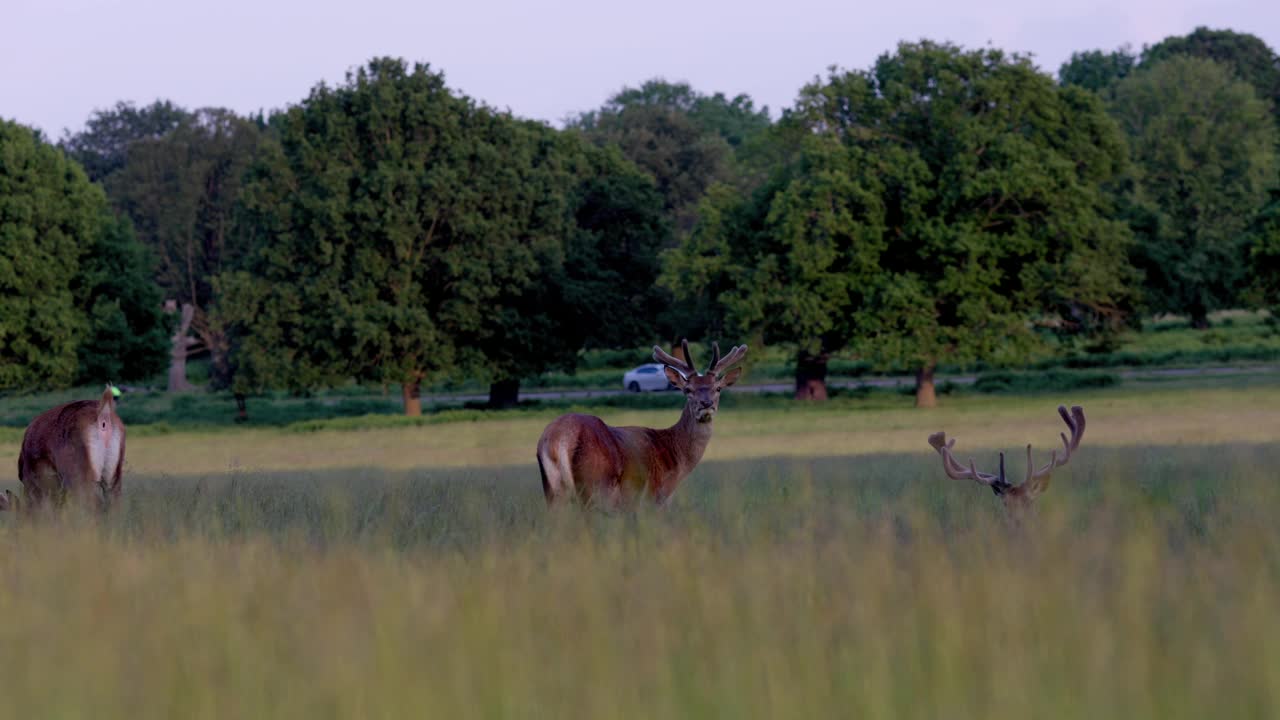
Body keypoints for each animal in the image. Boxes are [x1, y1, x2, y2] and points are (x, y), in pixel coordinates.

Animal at [4, 384, 126, 512]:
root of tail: (103, 415)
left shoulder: (40, 480)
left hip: (78, 471)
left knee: (91, 502)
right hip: (114, 473)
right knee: (115, 502)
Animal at [535, 338, 747, 507]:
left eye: (718, 388)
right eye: (688, 389)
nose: (706, 404)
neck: (676, 458)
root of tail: (558, 439)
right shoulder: (655, 497)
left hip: (552, 491)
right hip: (594, 485)